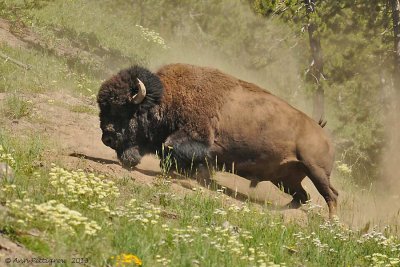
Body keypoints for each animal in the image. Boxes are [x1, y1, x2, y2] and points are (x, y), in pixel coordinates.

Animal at [97, 63, 338, 219]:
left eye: (122, 110)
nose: (106, 137)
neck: (169, 97)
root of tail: (323, 133)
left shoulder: (197, 139)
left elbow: (171, 149)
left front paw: (190, 176)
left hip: (315, 170)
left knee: (331, 195)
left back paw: (331, 223)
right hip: (285, 178)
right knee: (303, 196)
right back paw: (278, 210)